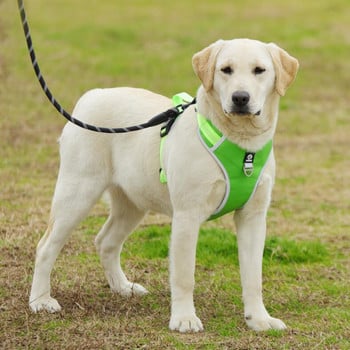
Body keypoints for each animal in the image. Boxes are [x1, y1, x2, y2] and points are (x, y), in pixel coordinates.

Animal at [29, 38, 298, 334]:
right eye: (225, 69)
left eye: (259, 70)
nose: (240, 98)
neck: (241, 144)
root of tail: (92, 95)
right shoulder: (187, 216)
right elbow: (184, 275)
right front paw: (184, 318)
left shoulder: (253, 217)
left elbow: (253, 277)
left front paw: (259, 319)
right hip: (77, 193)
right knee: (46, 246)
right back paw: (40, 300)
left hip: (132, 203)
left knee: (105, 241)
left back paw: (122, 287)